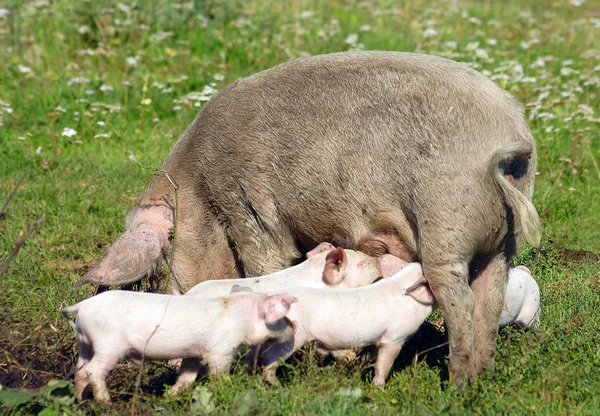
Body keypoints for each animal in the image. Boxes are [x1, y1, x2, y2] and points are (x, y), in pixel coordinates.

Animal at [77, 51, 540, 384]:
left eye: (162, 263)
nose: (172, 362)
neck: (200, 188)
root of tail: (508, 140)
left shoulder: (248, 207)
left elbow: (265, 264)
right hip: (502, 241)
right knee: (489, 298)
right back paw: (481, 376)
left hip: (444, 221)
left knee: (459, 299)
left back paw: (456, 381)